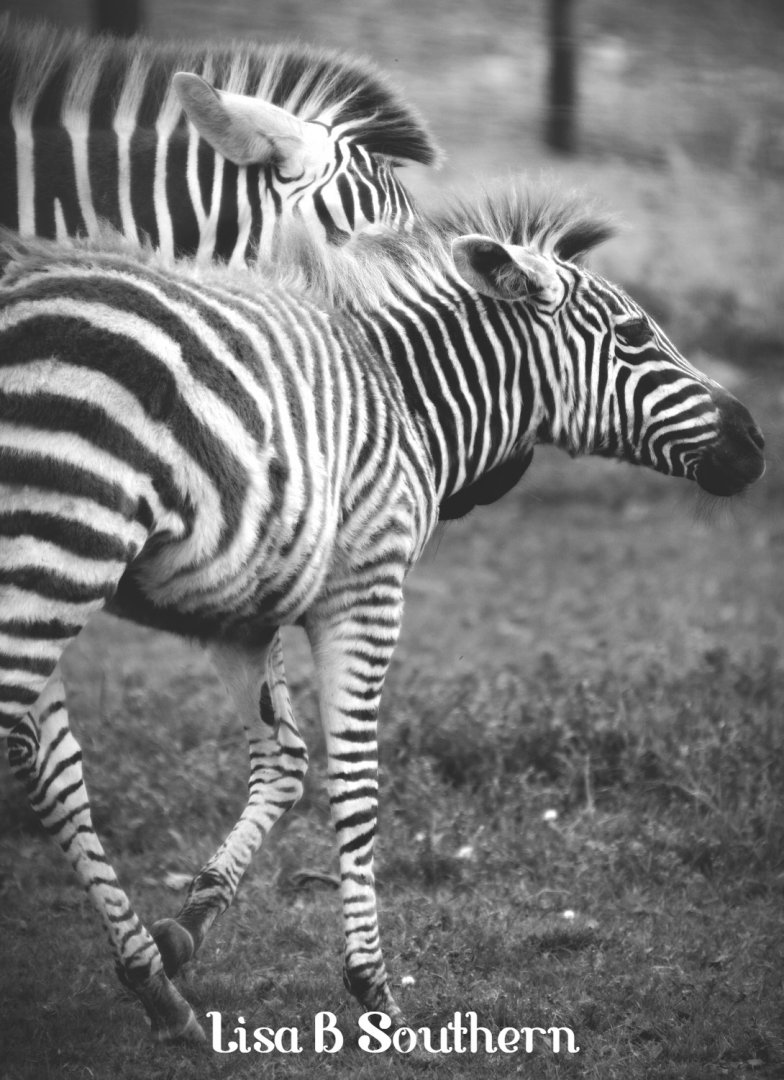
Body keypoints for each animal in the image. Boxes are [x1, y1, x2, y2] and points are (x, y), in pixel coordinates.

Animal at [0, 184, 764, 1041]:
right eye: (634, 334)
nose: (757, 441)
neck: (408, 397)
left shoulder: (243, 610)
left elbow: (284, 761)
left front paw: (179, 938)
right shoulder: (367, 587)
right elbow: (356, 781)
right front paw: (372, 986)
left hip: (51, 565)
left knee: (49, 764)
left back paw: (156, 989)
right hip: (63, 548)